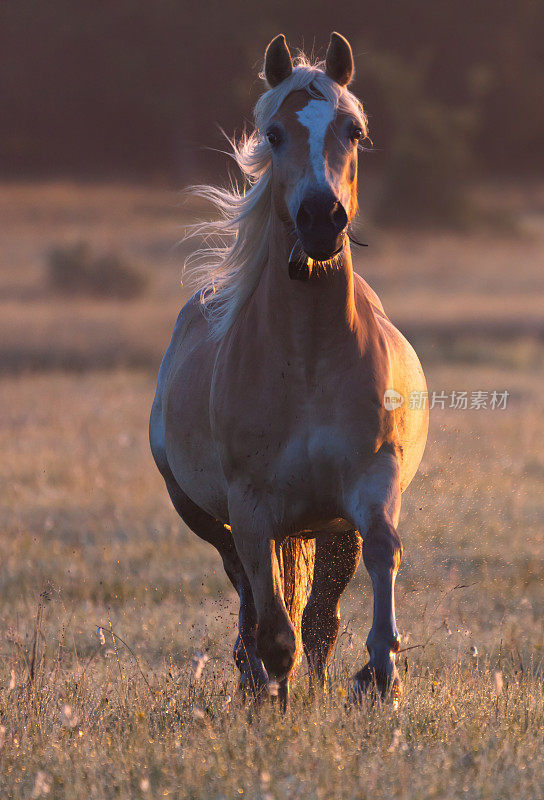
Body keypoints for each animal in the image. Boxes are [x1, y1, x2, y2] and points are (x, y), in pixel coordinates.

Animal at [150, 32, 430, 708]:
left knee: (321, 609)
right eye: (274, 134)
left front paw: (380, 672)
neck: (308, 363)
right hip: (203, 512)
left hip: (326, 527)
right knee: (248, 589)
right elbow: (275, 625)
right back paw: (252, 678)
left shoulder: (370, 483)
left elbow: (381, 555)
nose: (321, 219)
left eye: (354, 130)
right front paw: (272, 697)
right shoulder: (252, 507)